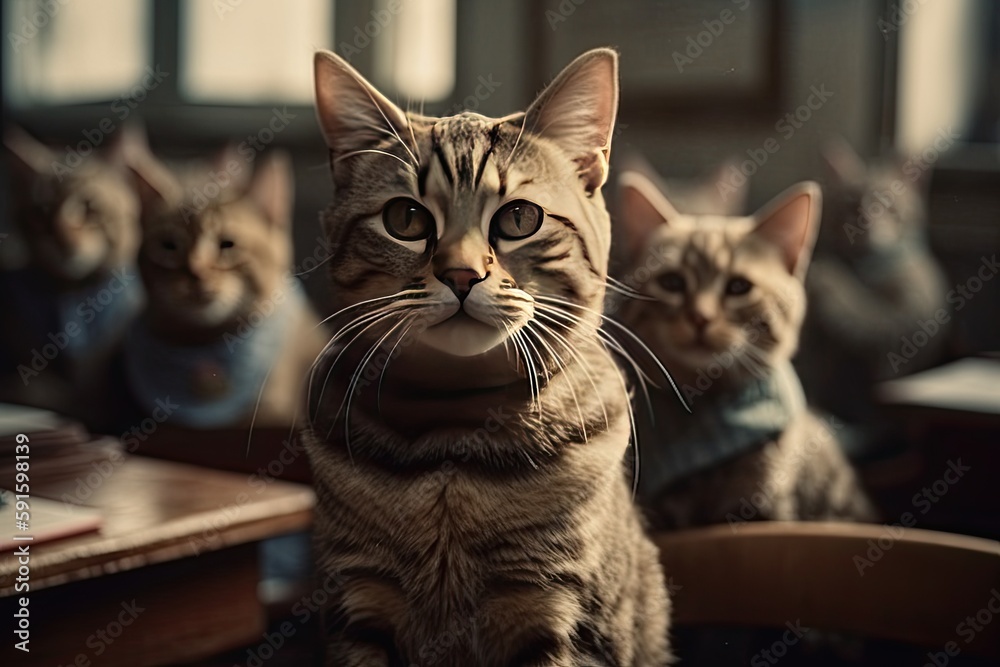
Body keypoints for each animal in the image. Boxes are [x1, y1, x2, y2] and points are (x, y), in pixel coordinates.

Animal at [304, 48, 672, 667]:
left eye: (520, 218)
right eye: (405, 219)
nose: (460, 274)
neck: (454, 436)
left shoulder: (562, 611)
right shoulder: (356, 602)